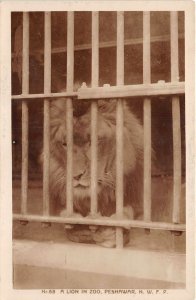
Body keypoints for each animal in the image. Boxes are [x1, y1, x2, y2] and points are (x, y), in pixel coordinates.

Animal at [48, 97, 144, 247]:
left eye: (94, 141)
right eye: (65, 144)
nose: (76, 176)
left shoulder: (137, 202)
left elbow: (127, 212)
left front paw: (114, 230)